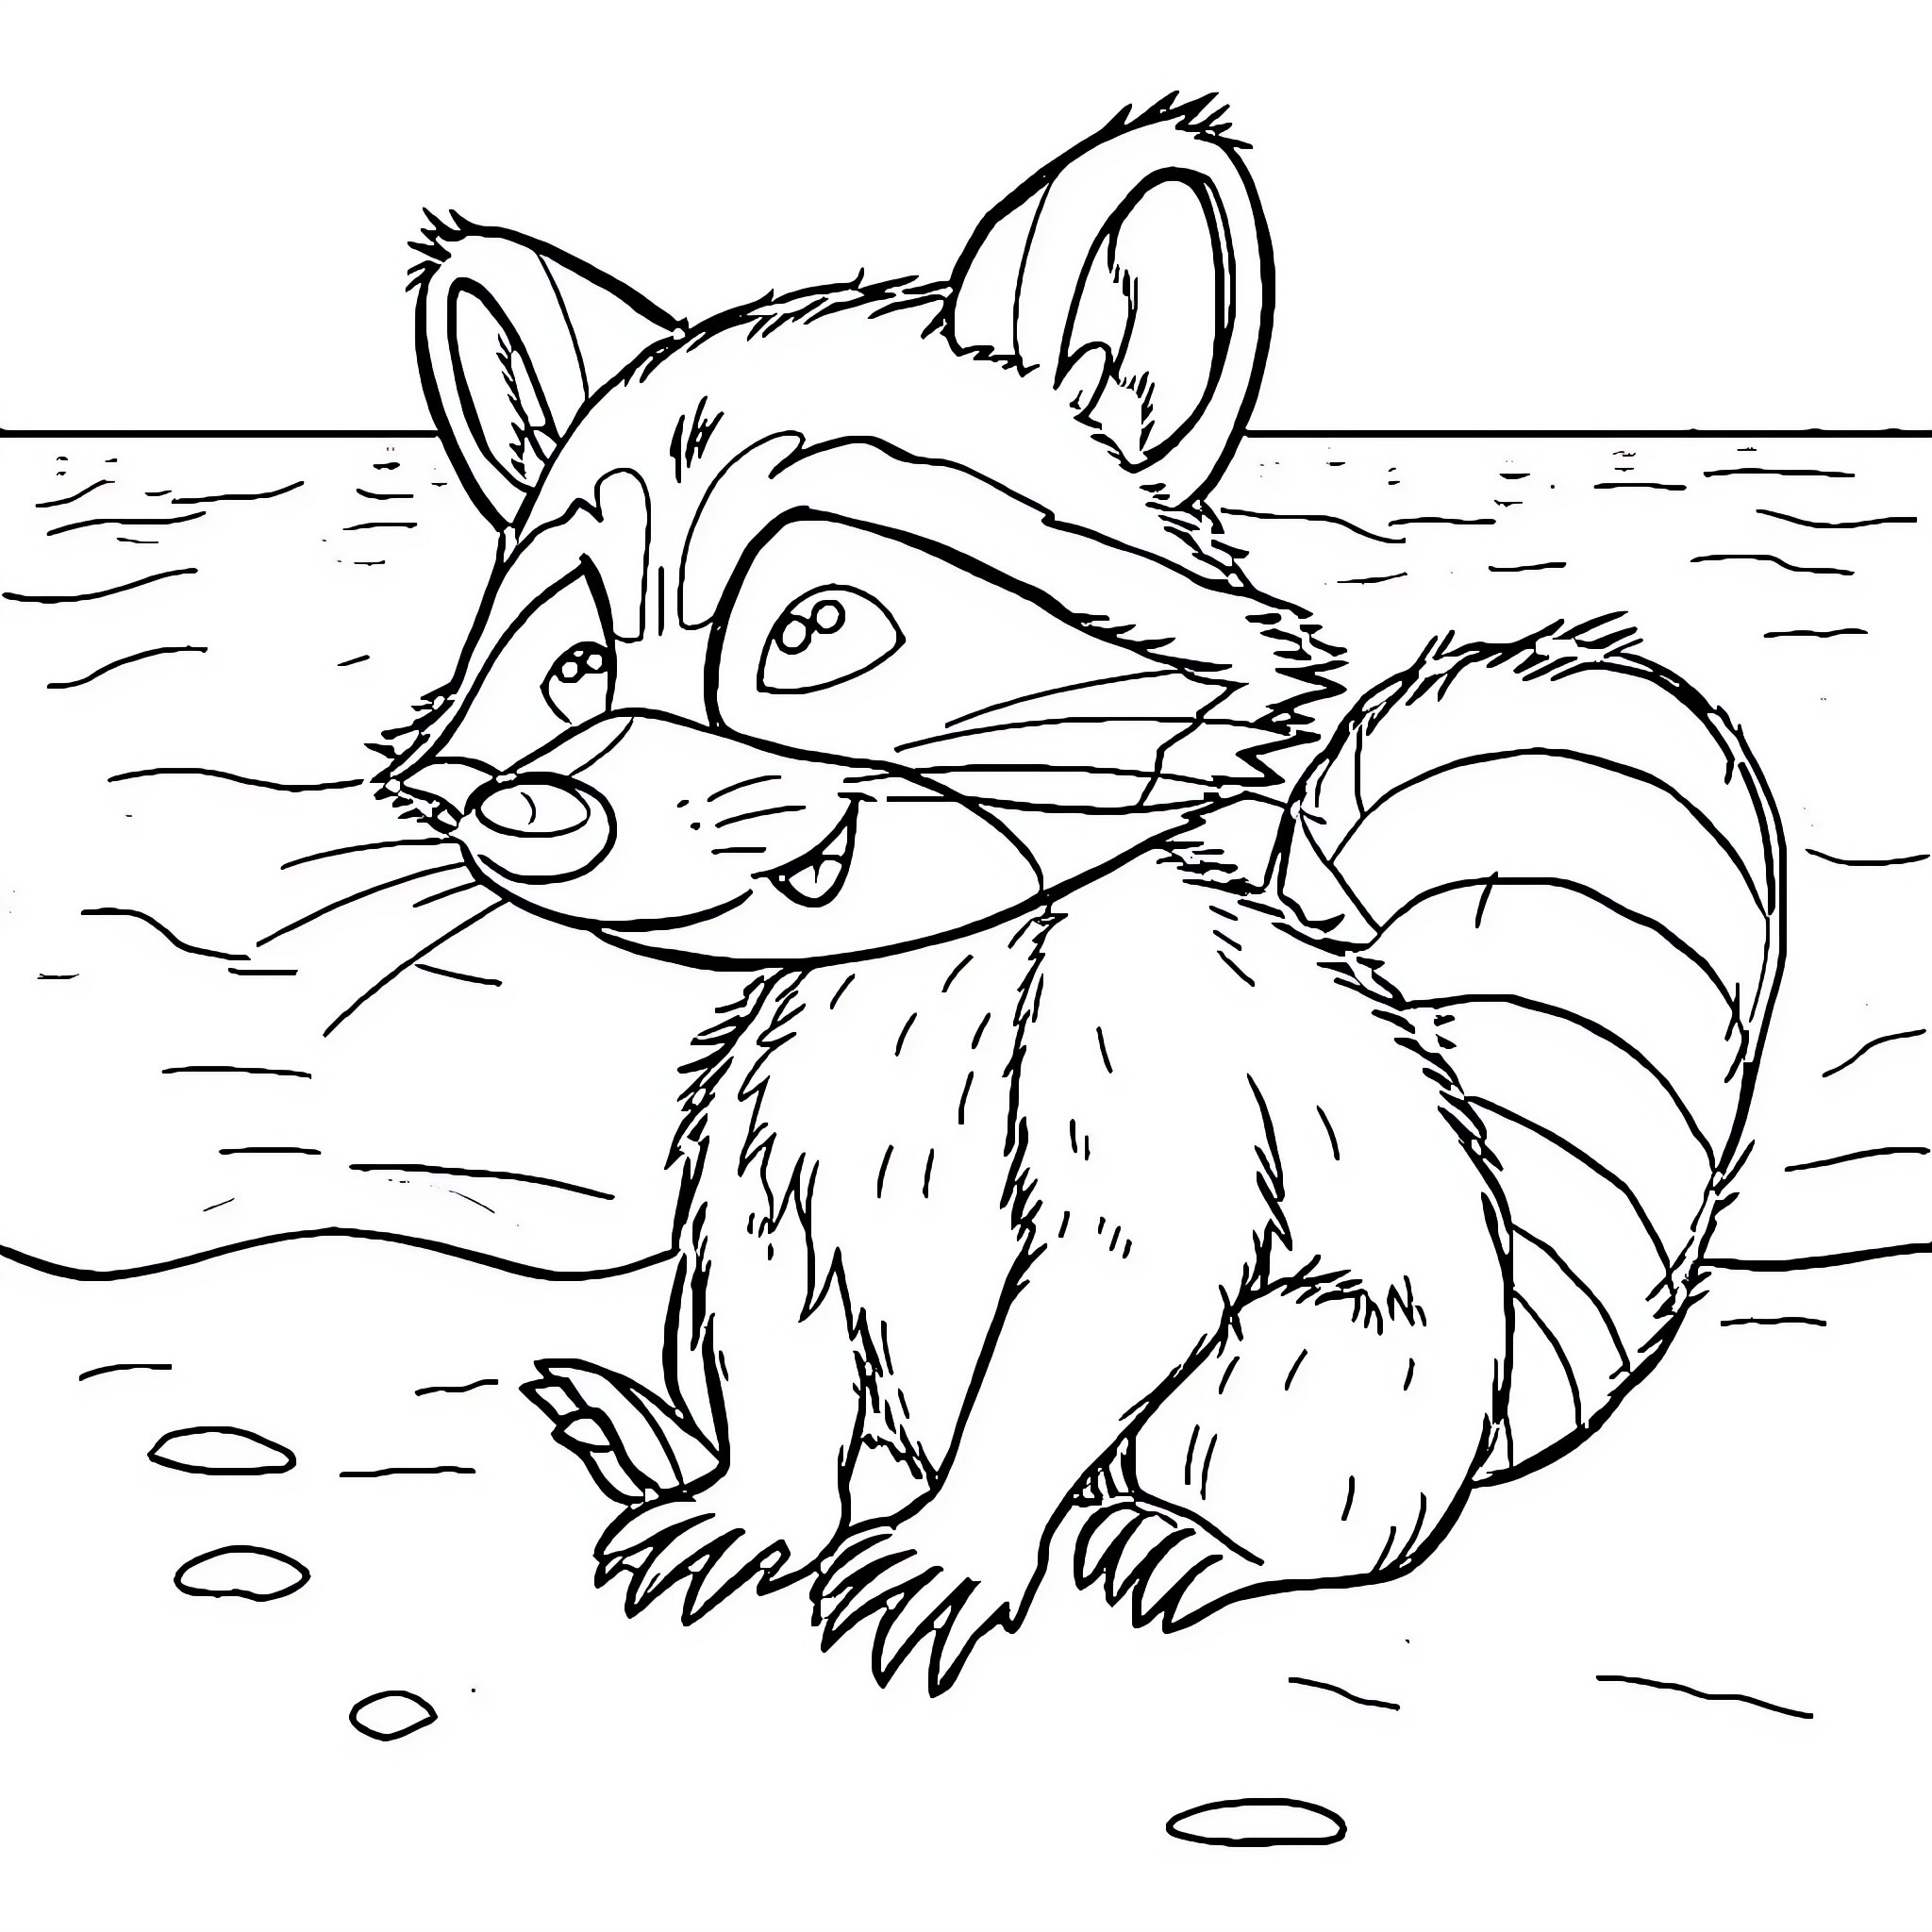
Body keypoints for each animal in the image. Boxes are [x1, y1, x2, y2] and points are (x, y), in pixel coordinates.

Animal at [391, 101, 1780, 1693]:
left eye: (818, 628)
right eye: (573, 664)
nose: (531, 812)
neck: (916, 973)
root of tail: (1491, 1401)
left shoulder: (1152, 1109)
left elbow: (1076, 1346)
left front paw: (951, 1554)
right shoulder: (762, 1175)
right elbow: (785, 1357)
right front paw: (754, 1513)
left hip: (1306, 1371)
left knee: (1316, 1522)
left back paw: (1192, 1544)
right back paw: (666, 1442)